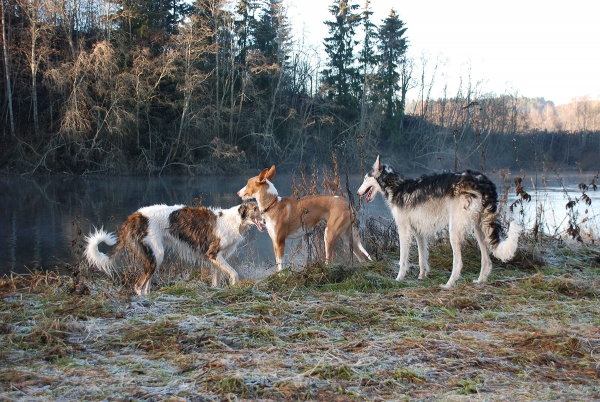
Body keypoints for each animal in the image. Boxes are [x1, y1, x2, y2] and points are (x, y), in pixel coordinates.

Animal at [83, 201, 266, 296]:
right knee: (138, 285)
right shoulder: (213, 254)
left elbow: (216, 282)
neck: (235, 221)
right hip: (156, 254)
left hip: (154, 259)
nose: (266, 219)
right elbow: (234, 274)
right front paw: (235, 287)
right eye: (255, 209)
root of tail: (135, 216)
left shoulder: (216, 259)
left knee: (145, 286)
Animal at [238, 165, 370, 272]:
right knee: (361, 257)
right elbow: (277, 265)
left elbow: (280, 265)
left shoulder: (280, 242)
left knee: (330, 260)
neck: (273, 204)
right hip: (347, 238)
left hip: (329, 234)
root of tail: (347, 203)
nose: (238, 192)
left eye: (247, 183)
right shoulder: (275, 242)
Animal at [356, 155, 520, 288]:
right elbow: (422, 258)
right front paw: (421, 276)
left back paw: (448, 285)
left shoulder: (404, 230)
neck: (397, 187)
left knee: (459, 263)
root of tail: (483, 181)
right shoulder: (418, 232)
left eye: (365, 179)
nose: (357, 193)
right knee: (487, 261)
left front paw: (398, 279)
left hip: (454, 231)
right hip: (479, 229)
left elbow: (403, 260)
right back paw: (479, 282)